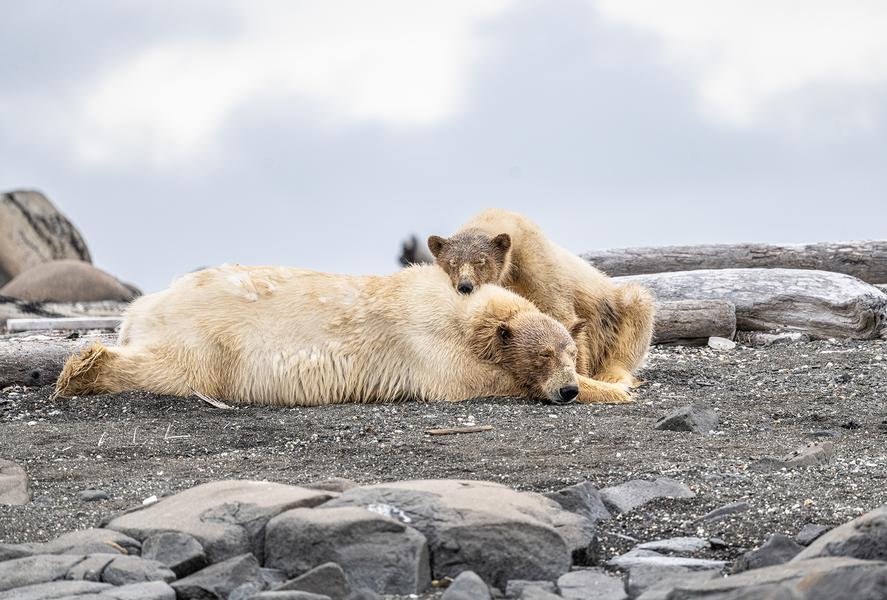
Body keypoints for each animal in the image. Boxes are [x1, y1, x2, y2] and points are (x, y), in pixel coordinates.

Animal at [53, 263, 608, 406]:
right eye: (543, 356)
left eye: (569, 353)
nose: (567, 389)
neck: (464, 307)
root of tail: (143, 307)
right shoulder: (423, 339)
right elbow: (463, 380)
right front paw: (609, 390)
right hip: (205, 337)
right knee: (174, 370)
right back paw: (82, 370)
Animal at [428, 208, 655, 403]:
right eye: (452, 262)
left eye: (481, 261)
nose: (465, 286)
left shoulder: (536, 262)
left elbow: (560, 314)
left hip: (612, 313)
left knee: (635, 309)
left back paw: (613, 375)